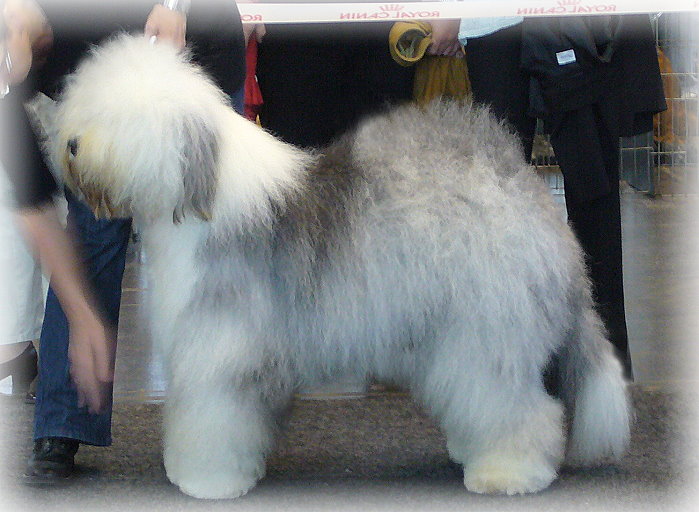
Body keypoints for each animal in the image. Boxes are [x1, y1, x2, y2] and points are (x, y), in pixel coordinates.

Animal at [52, 34, 630, 499]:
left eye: (120, 117)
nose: (71, 143)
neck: (199, 188)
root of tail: (519, 179)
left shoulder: (221, 347)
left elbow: (214, 418)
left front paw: (205, 480)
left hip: (486, 326)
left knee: (520, 406)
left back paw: (508, 471)